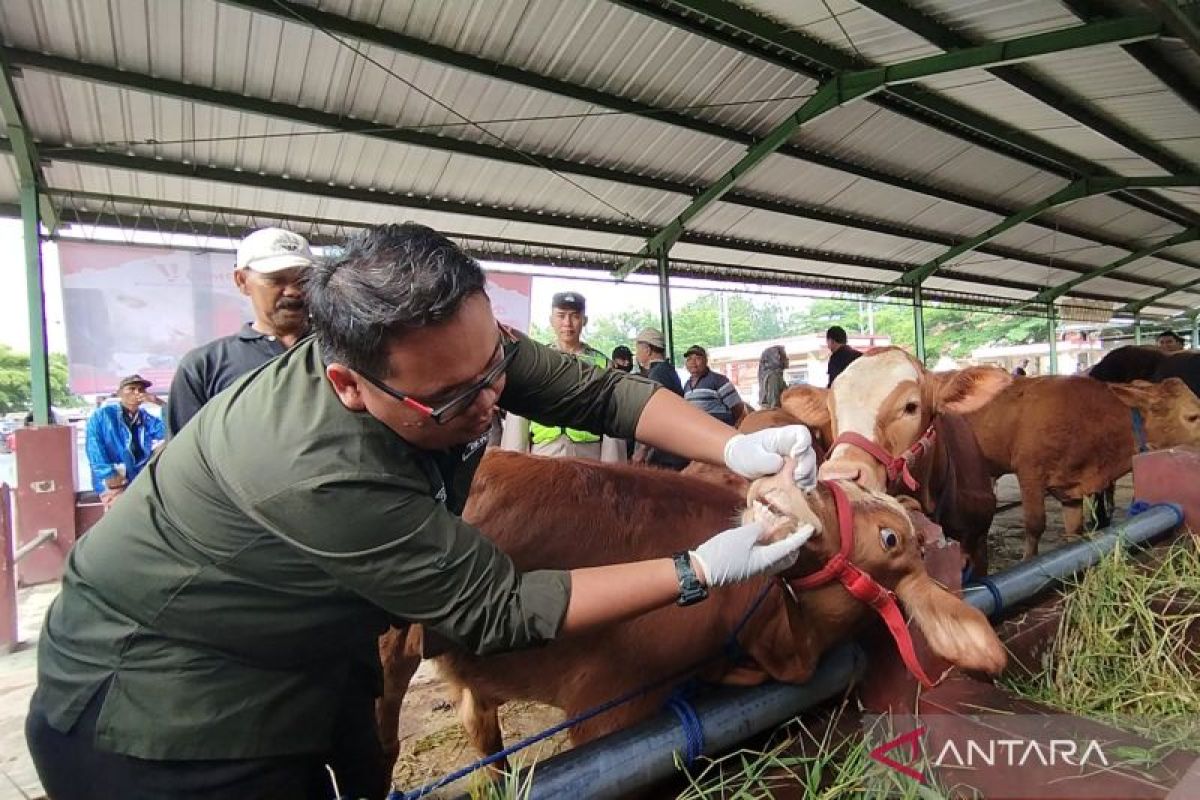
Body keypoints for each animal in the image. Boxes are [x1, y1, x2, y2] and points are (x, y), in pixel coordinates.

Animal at [964, 379, 1200, 561]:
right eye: (1192, 416)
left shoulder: (1072, 489)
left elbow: (1075, 531)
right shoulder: (1029, 474)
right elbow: (1035, 525)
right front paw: (1028, 561)